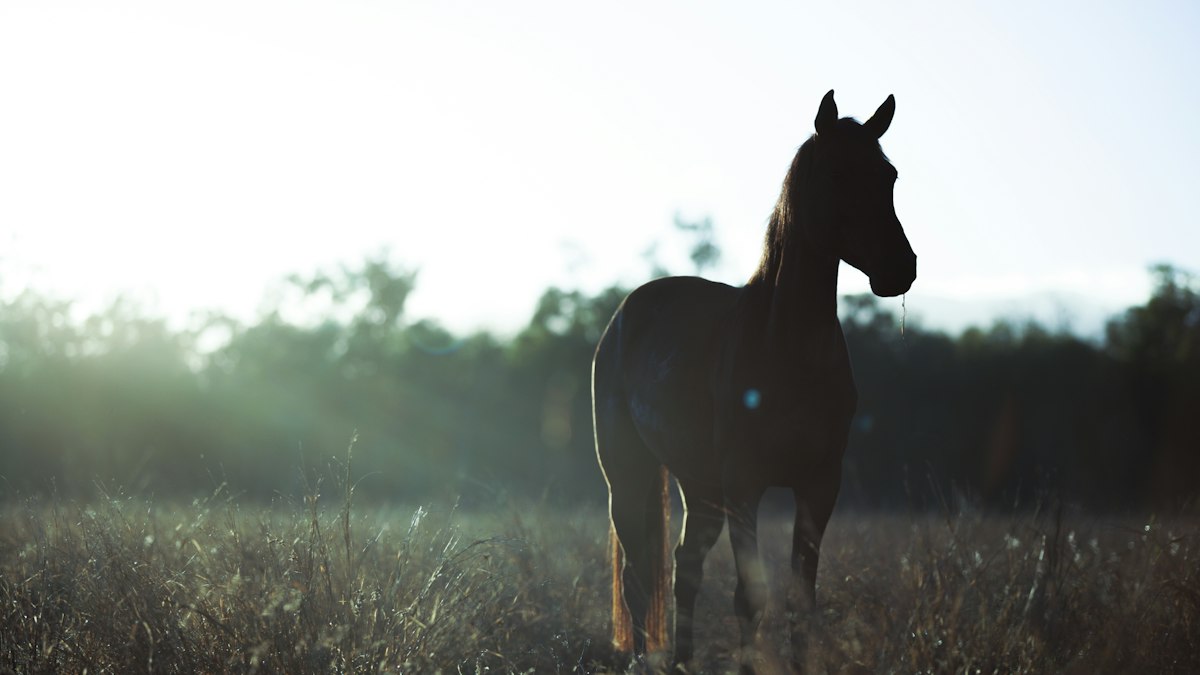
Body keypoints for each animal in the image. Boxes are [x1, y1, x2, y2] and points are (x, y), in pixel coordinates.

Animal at [592, 90, 916, 672]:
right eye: (836, 173)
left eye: (890, 175)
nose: (900, 268)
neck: (786, 348)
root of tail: (627, 312)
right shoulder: (745, 484)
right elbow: (750, 598)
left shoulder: (819, 485)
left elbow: (800, 599)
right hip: (628, 474)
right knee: (637, 579)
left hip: (699, 486)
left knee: (684, 568)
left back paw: (683, 660)